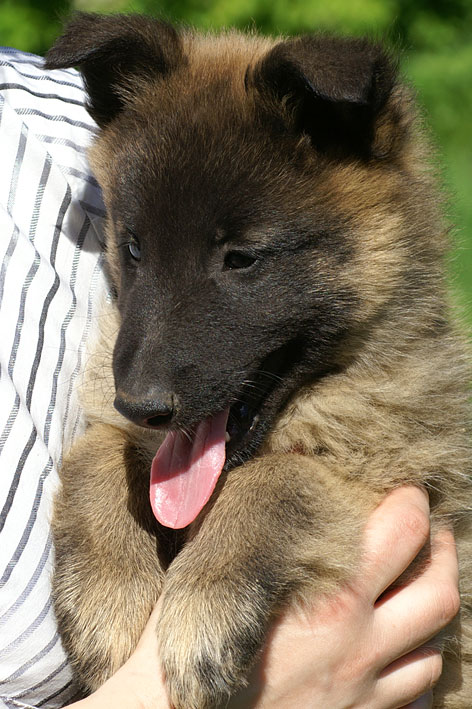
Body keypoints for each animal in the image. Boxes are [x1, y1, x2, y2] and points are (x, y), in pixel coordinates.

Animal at [45, 12, 472, 708]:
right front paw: (109, 597)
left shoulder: (413, 487)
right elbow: (97, 450)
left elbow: (282, 479)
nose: (140, 402)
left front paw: (201, 607)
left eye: (240, 259)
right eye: (133, 248)